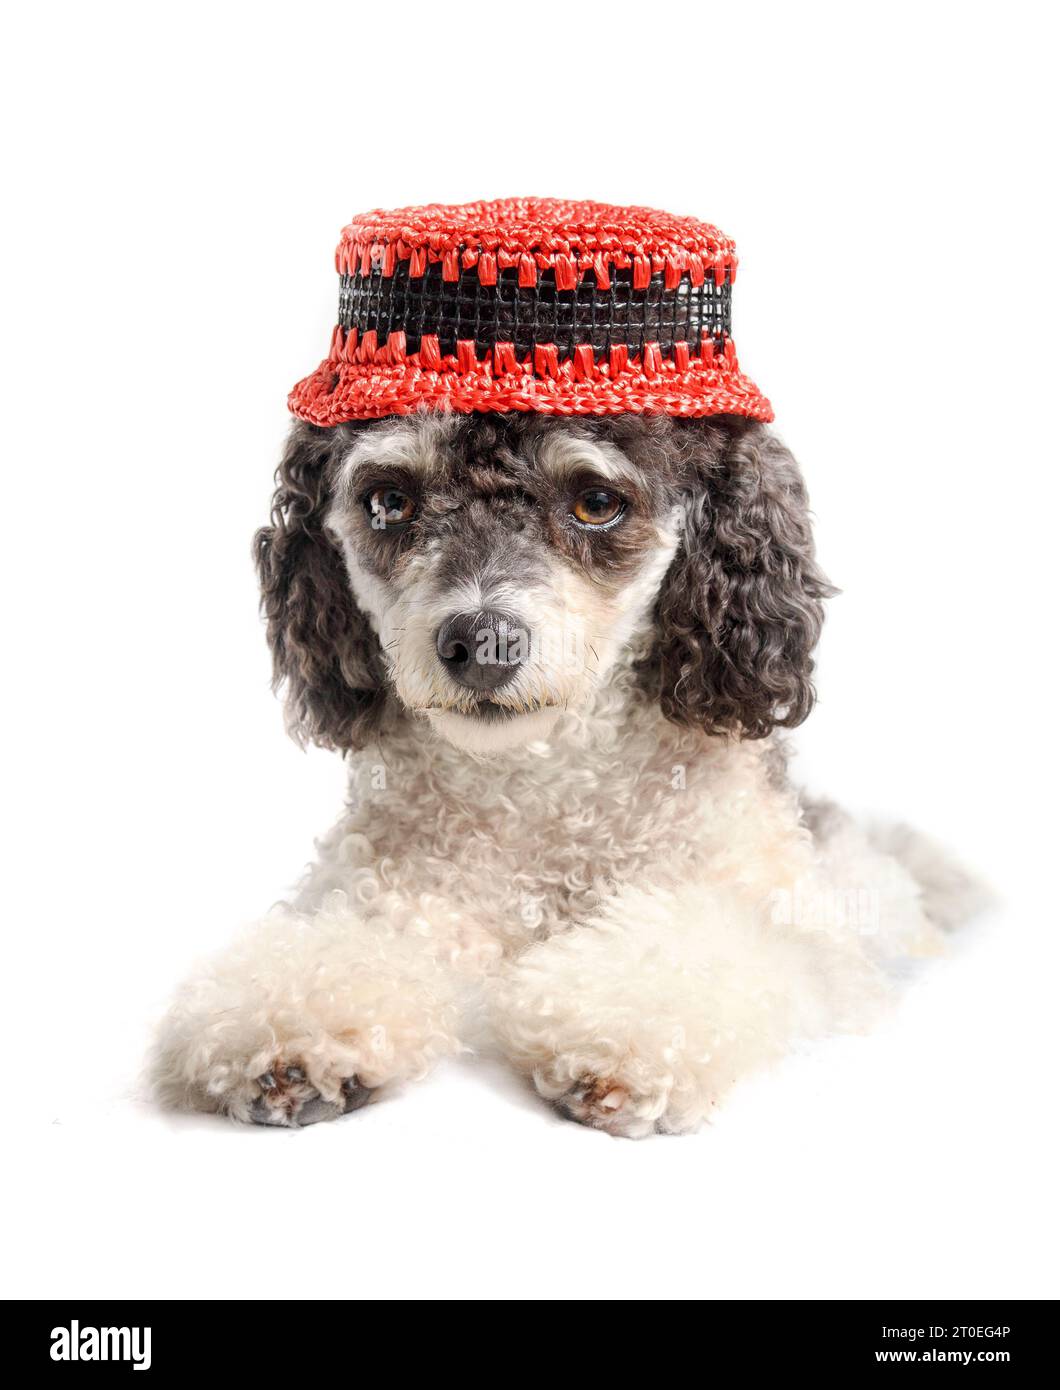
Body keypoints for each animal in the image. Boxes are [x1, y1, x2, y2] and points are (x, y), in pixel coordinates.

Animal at [151, 405, 978, 1134]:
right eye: (389, 501)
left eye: (596, 503)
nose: (481, 642)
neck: (545, 802)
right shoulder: (384, 889)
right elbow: (341, 947)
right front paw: (288, 1039)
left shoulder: (793, 929)